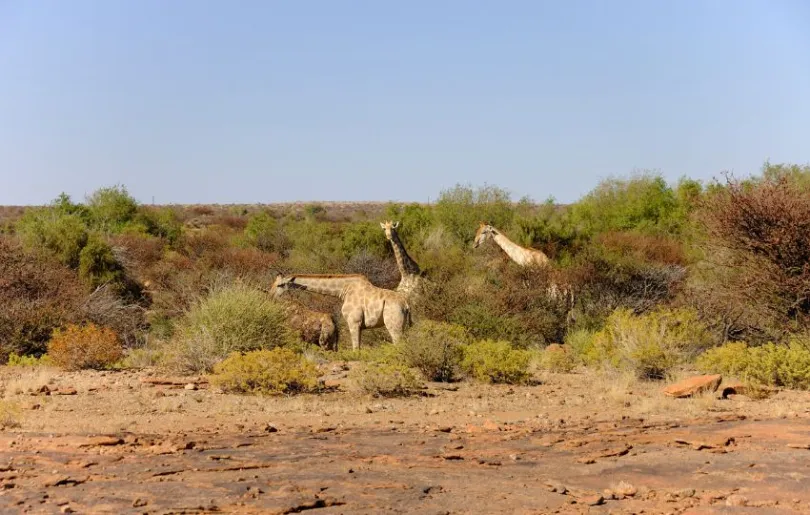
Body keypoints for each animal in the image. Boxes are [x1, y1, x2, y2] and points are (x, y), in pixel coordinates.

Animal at [272, 274, 410, 350]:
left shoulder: (354, 322)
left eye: (280, 285)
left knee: (398, 343)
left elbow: (355, 347)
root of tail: (406, 305)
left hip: (393, 325)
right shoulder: (358, 325)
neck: (343, 290)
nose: (270, 294)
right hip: (404, 326)